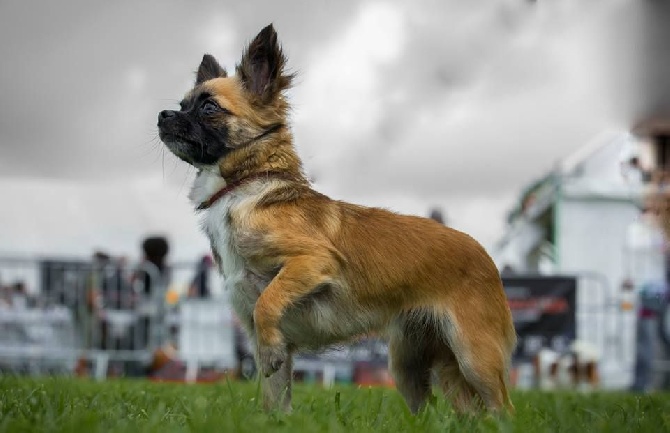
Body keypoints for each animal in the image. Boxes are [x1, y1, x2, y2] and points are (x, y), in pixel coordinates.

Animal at [159, 24, 520, 416]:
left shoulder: (314, 262)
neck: (242, 189)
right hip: (409, 364)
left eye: (209, 107)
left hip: (474, 356)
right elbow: (274, 396)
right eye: (182, 105)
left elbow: (268, 302)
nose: (163, 115)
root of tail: (484, 255)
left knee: (502, 410)